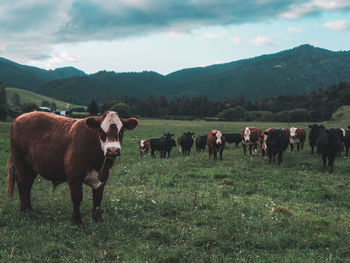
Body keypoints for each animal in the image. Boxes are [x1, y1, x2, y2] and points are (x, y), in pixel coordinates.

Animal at [7, 111, 138, 225]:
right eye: (101, 131)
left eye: (121, 131)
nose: (113, 150)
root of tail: (20, 117)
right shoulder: (74, 174)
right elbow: (77, 197)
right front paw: (76, 221)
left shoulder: (103, 176)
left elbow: (98, 197)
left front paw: (97, 219)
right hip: (21, 163)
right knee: (22, 183)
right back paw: (25, 210)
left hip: (32, 167)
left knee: (27, 185)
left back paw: (29, 208)